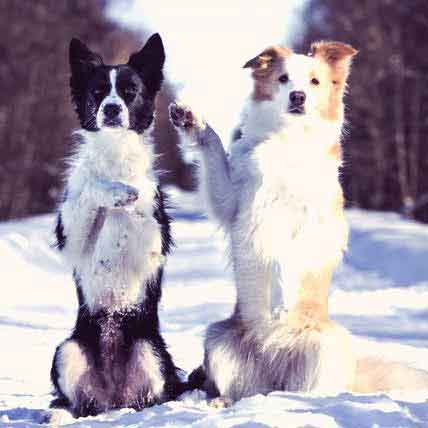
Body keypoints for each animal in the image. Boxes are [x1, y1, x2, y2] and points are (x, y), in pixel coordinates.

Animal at [50, 35, 184, 420]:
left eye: (129, 92)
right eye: (98, 92)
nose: (111, 109)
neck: (115, 153)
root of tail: (113, 397)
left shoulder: (153, 241)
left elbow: (137, 216)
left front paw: (129, 195)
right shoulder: (72, 235)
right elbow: (90, 192)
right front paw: (115, 192)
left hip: (150, 352)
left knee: (151, 398)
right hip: (67, 350)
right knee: (76, 403)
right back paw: (59, 415)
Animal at [169, 41, 428, 402]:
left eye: (314, 81)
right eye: (283, 78)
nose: (298, 96)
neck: (286, 141)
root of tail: (273, 362)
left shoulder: (315, 224)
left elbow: (284, 258)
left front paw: (280, 299)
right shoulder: (233, 201)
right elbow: (215, 149)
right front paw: (192, 121)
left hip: (326, 346)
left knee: (309, 387)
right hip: (218, 339)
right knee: (237, 387)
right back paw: (219, 401)